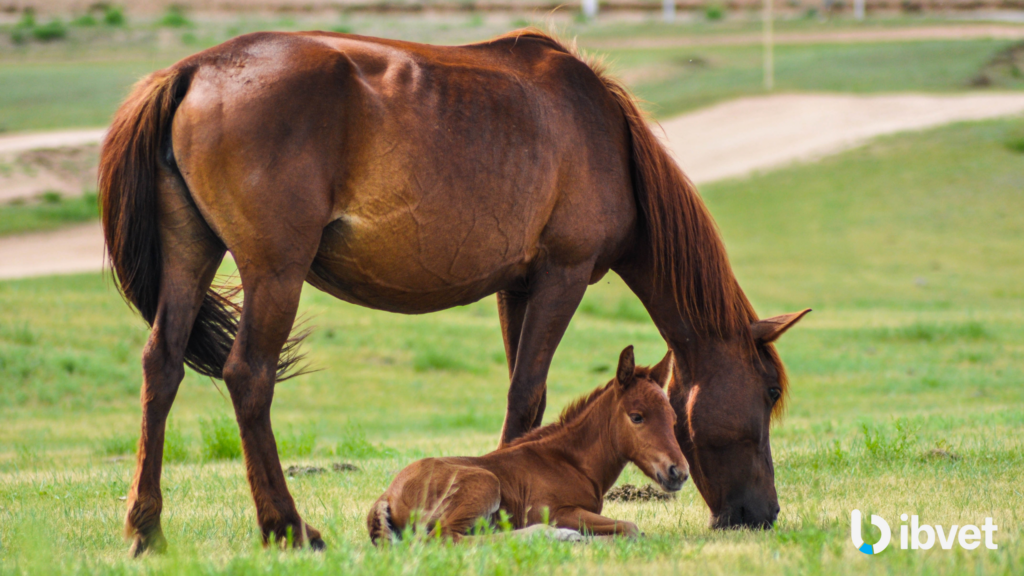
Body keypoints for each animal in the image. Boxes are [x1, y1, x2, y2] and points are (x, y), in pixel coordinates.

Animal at [368, 344, 688, 541]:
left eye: (673, 417)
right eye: (637, 417)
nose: (679, 472)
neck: (571, 462)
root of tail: (387, 496)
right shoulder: (555, 511)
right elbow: (630, 528)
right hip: (484, 484)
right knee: (447, 538)